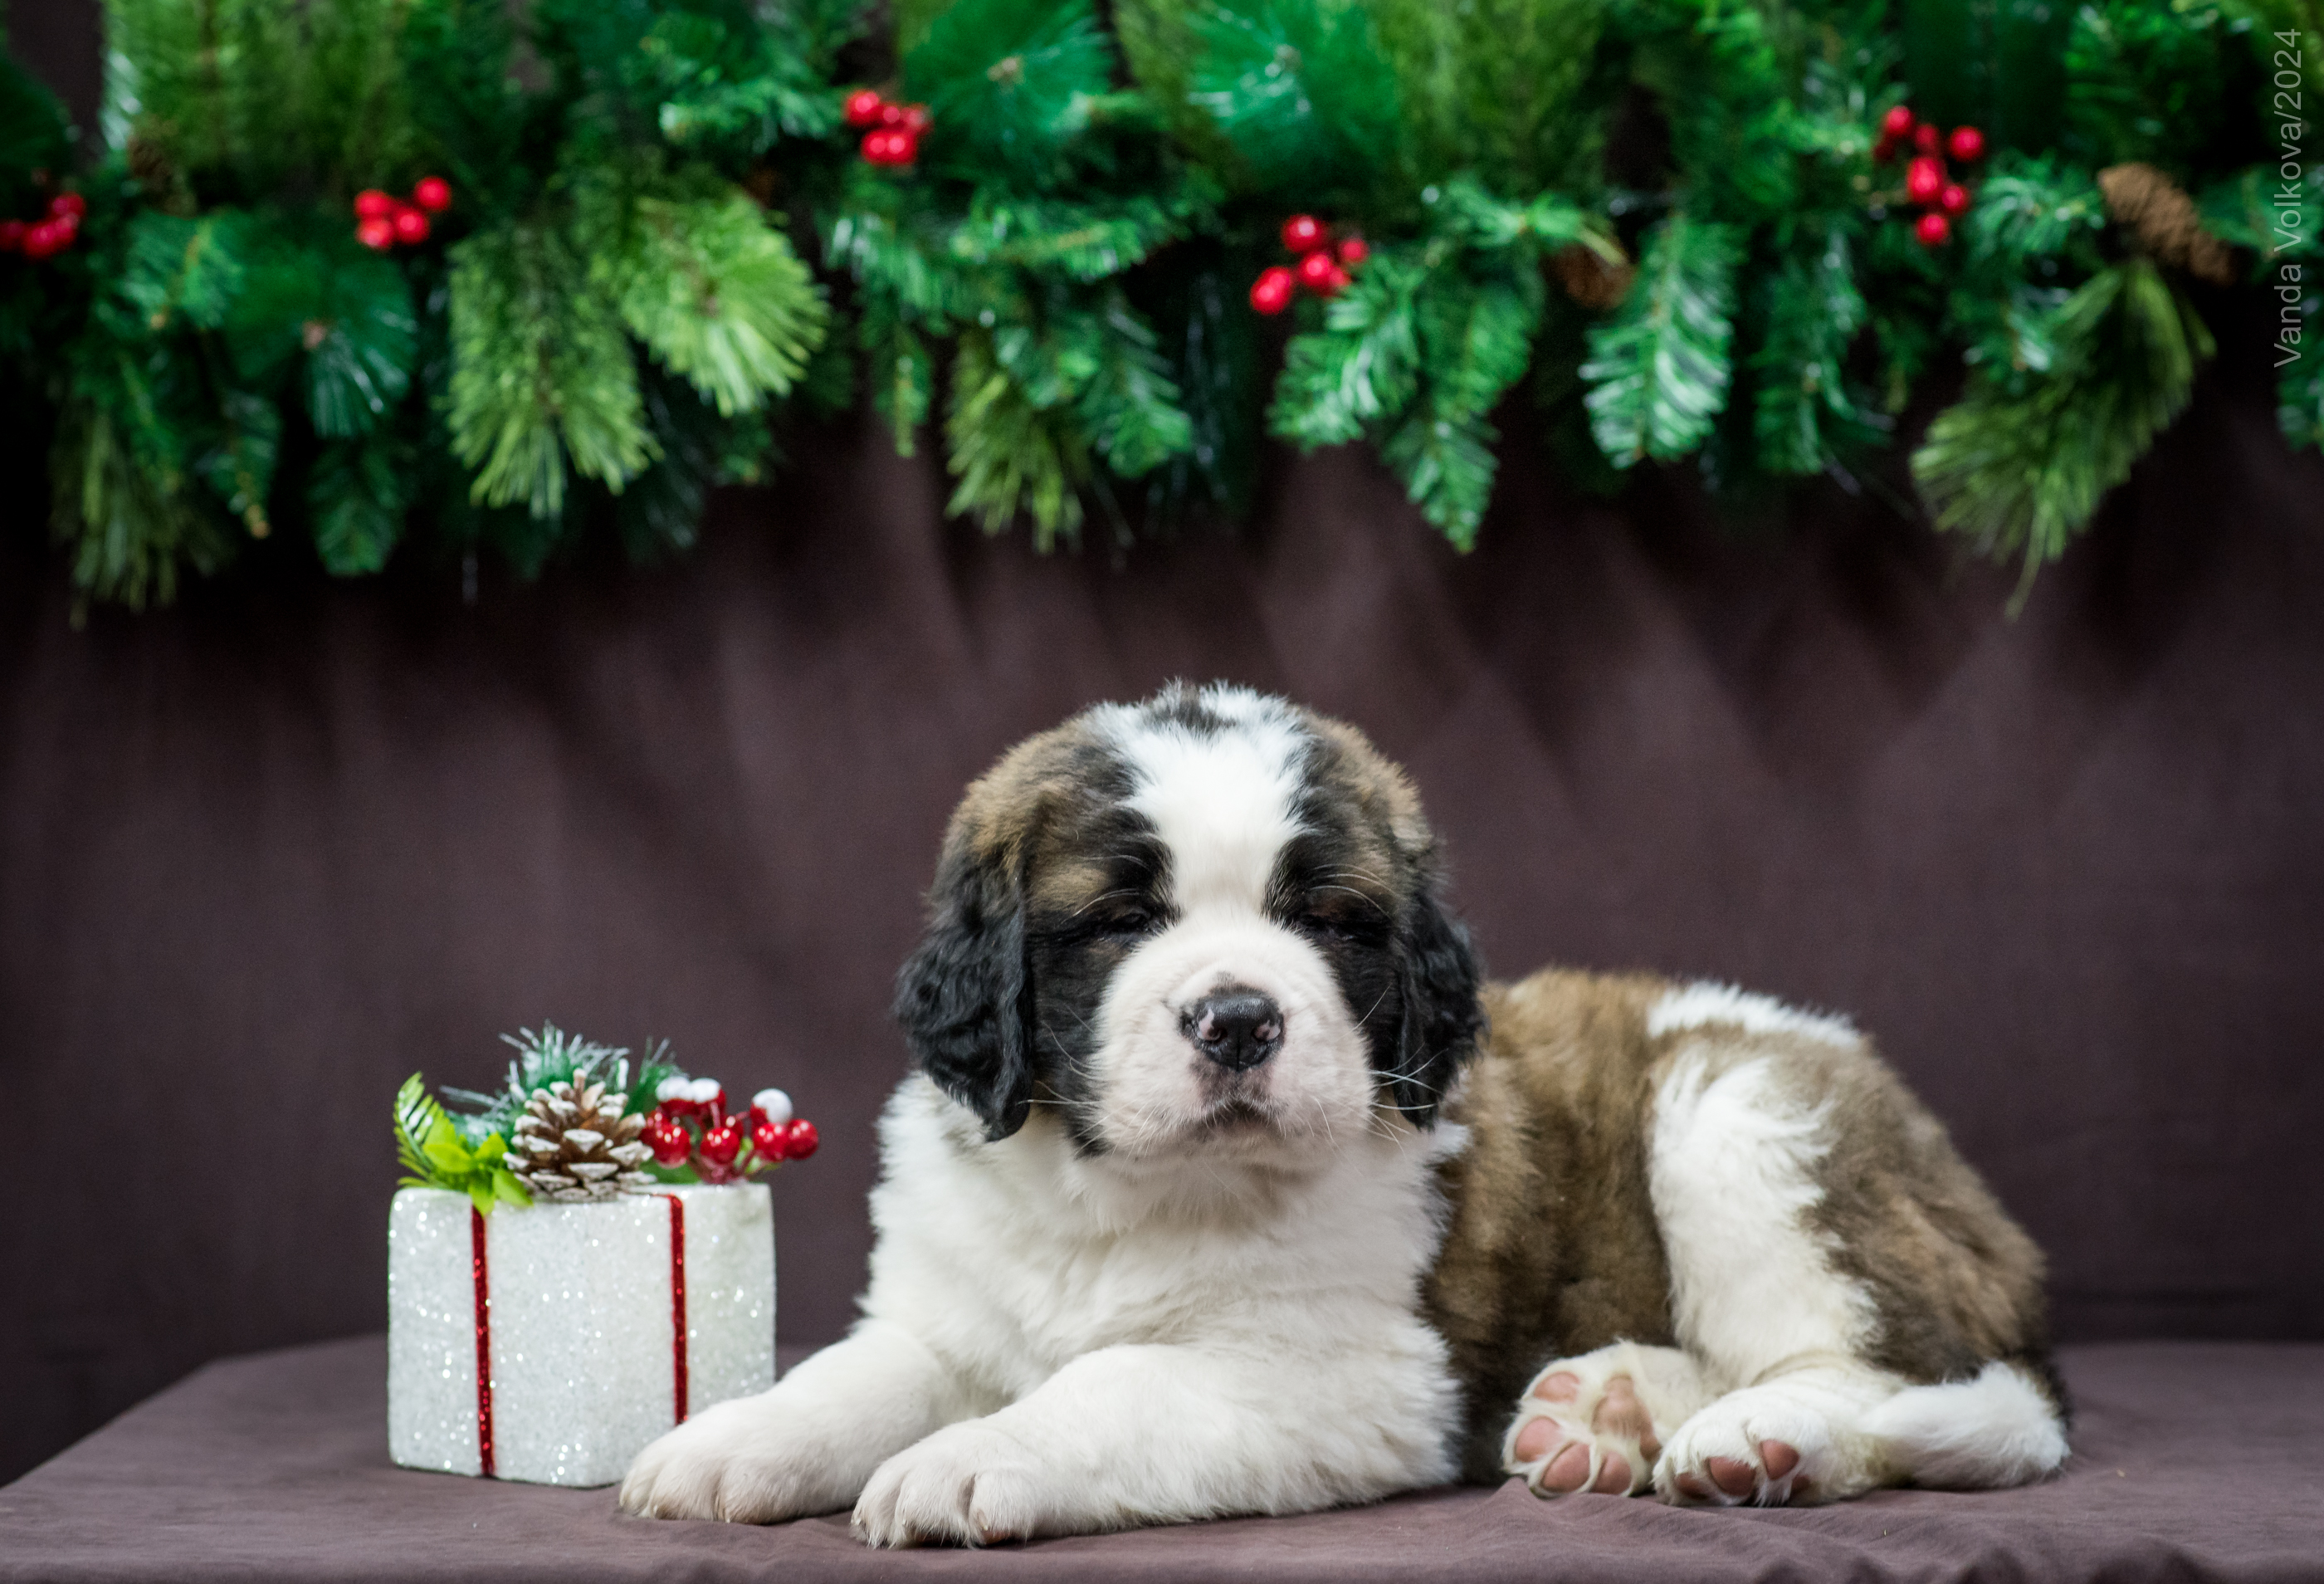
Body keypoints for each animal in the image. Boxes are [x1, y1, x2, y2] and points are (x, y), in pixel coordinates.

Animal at [619, 683, 2067, 1542]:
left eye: (1327, 921)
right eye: (1121, 920)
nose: (1239, 1020)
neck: (1129, 1196)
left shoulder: (1351, 1376)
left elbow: (1111, 1383)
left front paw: (970, 1459)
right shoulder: (950, 1308)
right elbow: (855, 1374)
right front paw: (728, 1443)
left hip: (1744, 1117)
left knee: (1892, 1371)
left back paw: (1755, 1441)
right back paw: (1601, 1415)